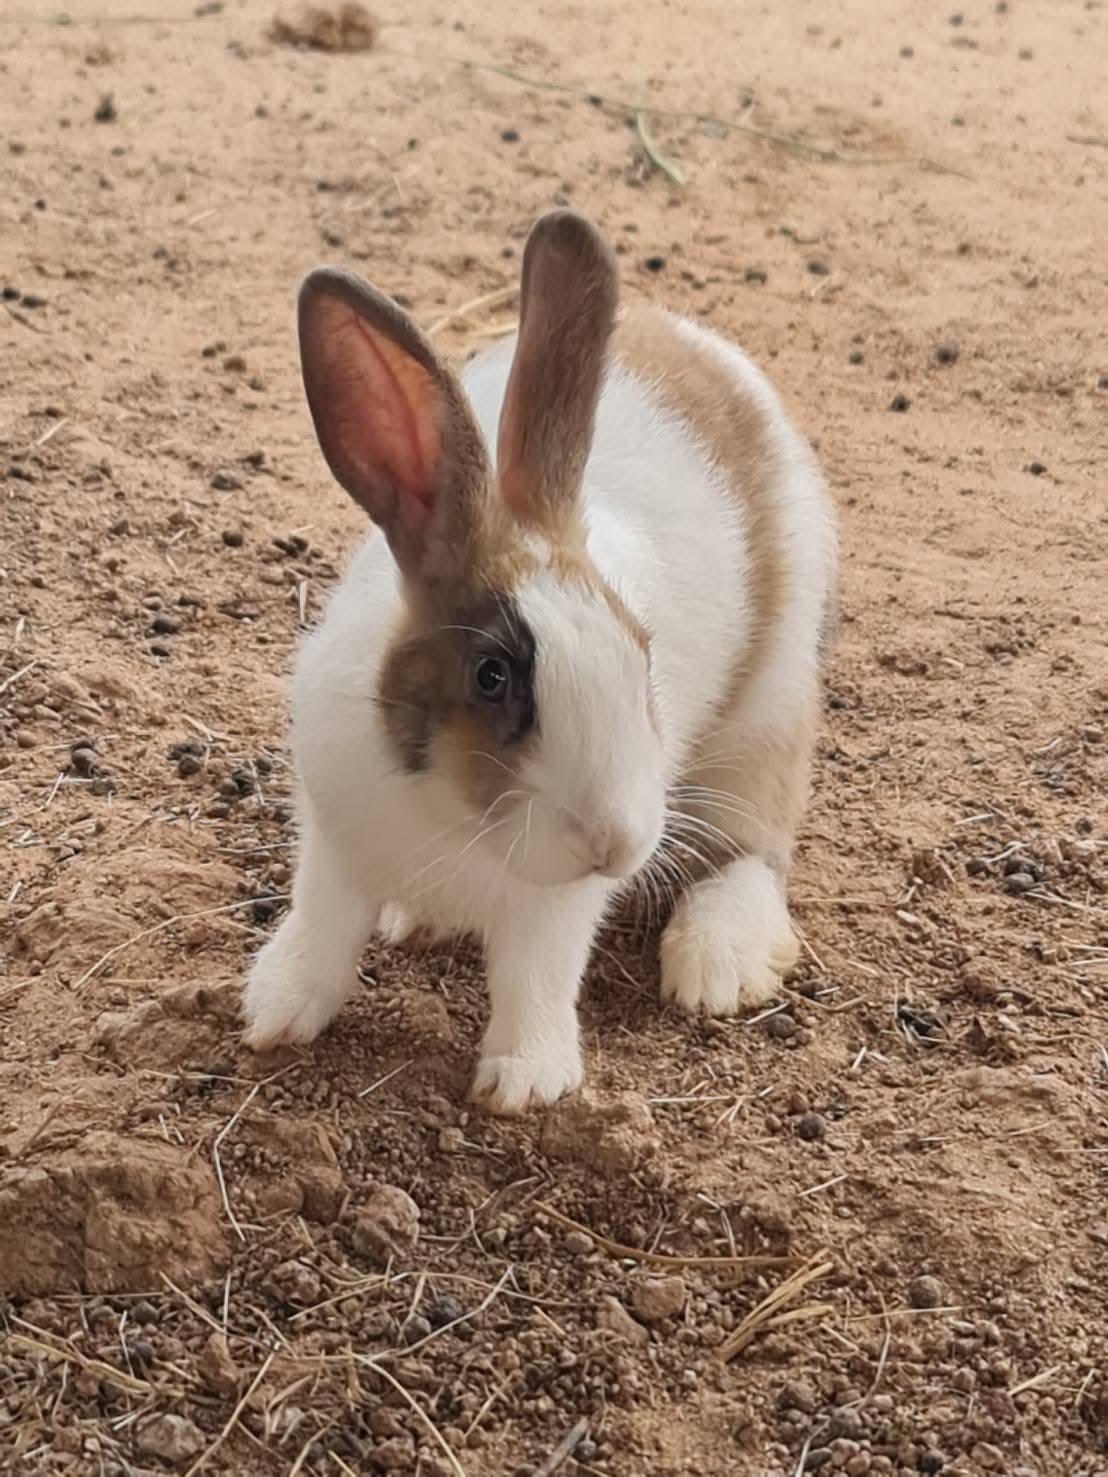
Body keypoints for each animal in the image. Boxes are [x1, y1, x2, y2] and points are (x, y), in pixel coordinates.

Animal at [241, 208, 836, 1114]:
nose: (615, 842)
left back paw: (717, 966)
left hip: (767, 710)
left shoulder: (555, 909)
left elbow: (536, 980)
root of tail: (702, 346)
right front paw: (272, 1012)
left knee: (756, 841)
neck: (453, 819)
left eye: (641, 655)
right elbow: (322, 927)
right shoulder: (333, 840)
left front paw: (524, 1081)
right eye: (492, 677)